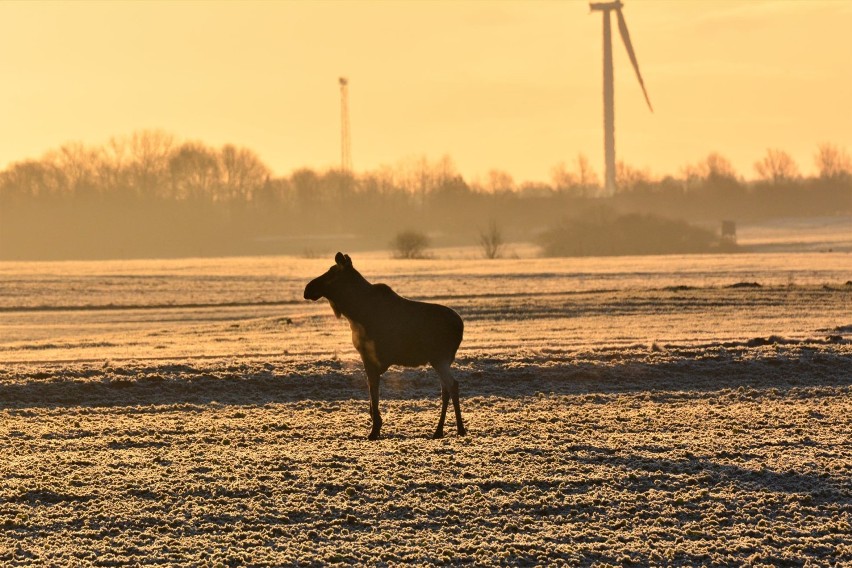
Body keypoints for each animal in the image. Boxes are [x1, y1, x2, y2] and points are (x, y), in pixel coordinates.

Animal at [304, 251, 466, 442]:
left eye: (332, 272)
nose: (307, 289)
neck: (353, 312)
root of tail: (460, 327)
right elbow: (371, 391)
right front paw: (376, 424)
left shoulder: (369, 356)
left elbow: (373, 391)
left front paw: (374, 430)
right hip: (440, 360)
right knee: (445, 388)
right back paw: (440, 430)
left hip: (439, 357)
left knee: (452, 385)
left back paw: (459, 429)